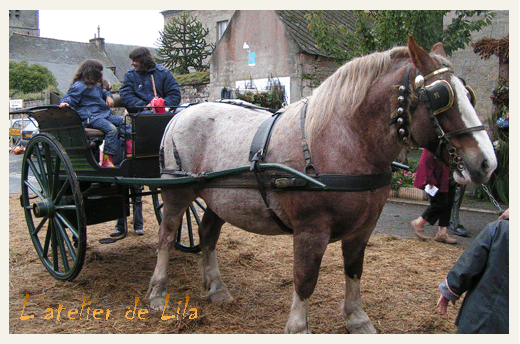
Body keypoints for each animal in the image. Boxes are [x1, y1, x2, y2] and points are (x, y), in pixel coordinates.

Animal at [146, 35, 496, 334]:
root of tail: (181, 113)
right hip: (178, 194)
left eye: (469, 94)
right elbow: (305, 278)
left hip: (218, 197)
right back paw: (158, 293)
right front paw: (299, 327)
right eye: (441, 96)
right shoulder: (310, 230)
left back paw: (216, 288)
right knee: (166, 237)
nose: (487, 163)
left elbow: (354, 269)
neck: (343, 142)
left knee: (207, 234)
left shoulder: (363, 228)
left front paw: (357, 318)